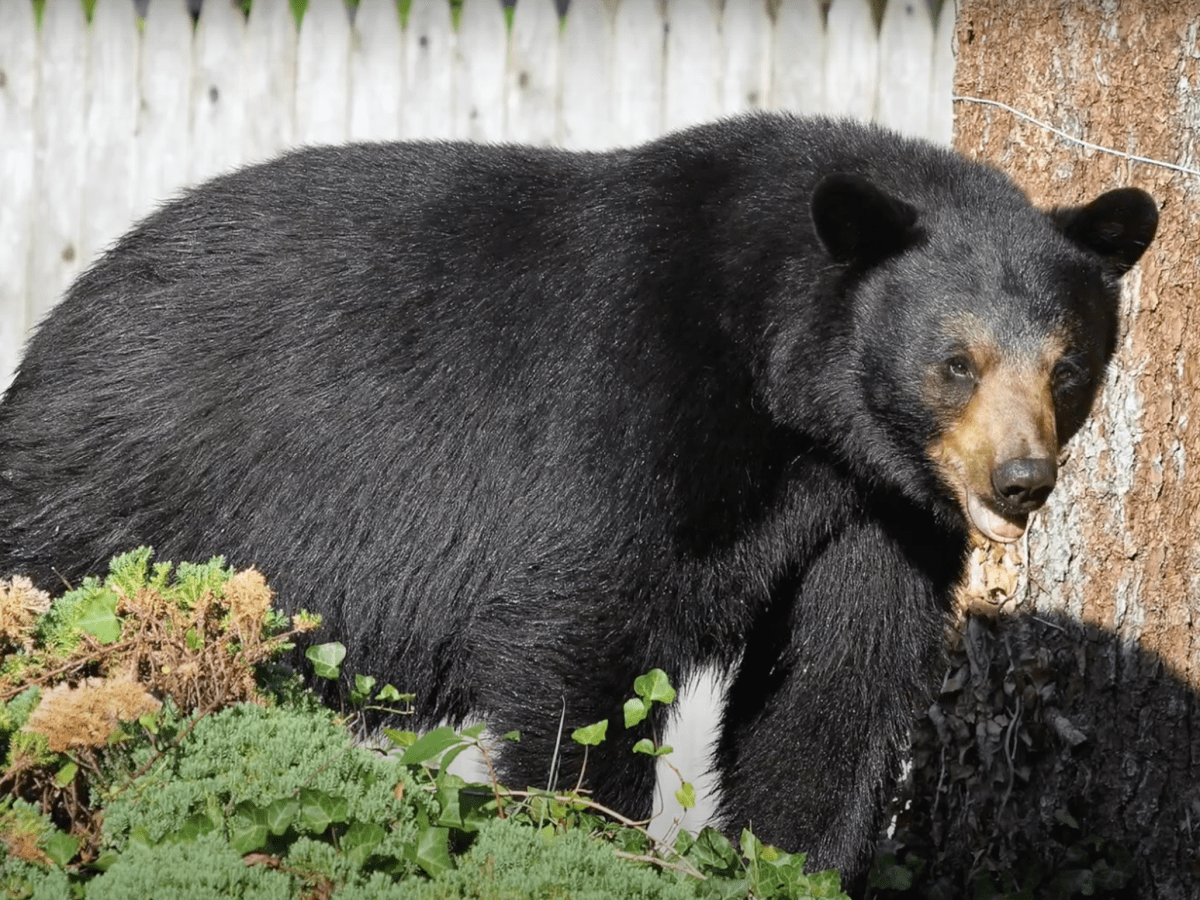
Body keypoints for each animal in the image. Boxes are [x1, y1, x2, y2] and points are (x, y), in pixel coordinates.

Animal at [0, 113, 1157, 889]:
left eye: (1067, 367)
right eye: (957, 363)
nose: (1020, 481)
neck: (797, 403)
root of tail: (65, 319)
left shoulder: (879, 511)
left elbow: (838, 682)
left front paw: (783, 859)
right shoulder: (626, 401)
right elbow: (591, 641)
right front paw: (591, 845)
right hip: (119, 493)